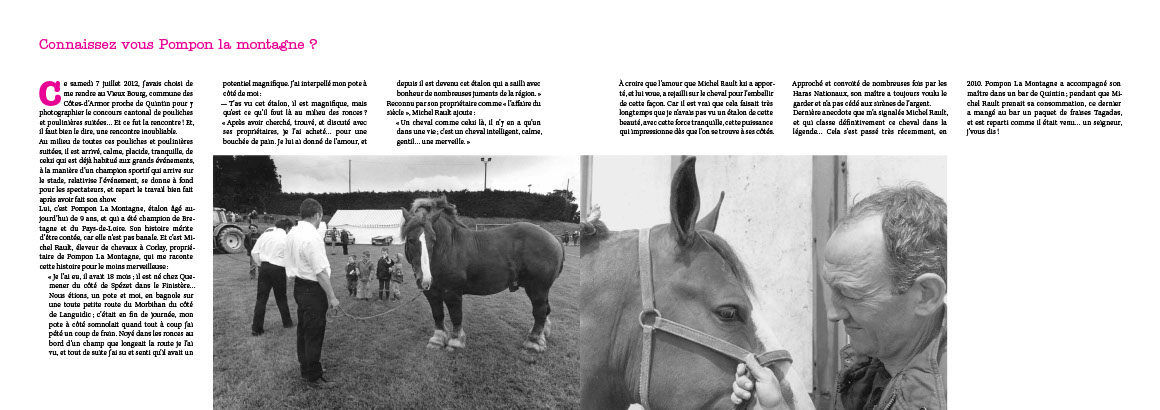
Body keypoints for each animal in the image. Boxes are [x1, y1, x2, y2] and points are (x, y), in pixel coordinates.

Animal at [401, 196, 564, 352]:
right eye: (410, 239)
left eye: (433, 240)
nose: (425, 279)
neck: (448, 248)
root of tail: (554, 238)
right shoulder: (431, 292)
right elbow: (438, 315)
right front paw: (437, 340)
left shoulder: (452, 292)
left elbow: (456, 315)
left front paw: (455, 341)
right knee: (545, 310)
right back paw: (541, 336)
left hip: (537, 288)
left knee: (540, 311)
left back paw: (533, 341)